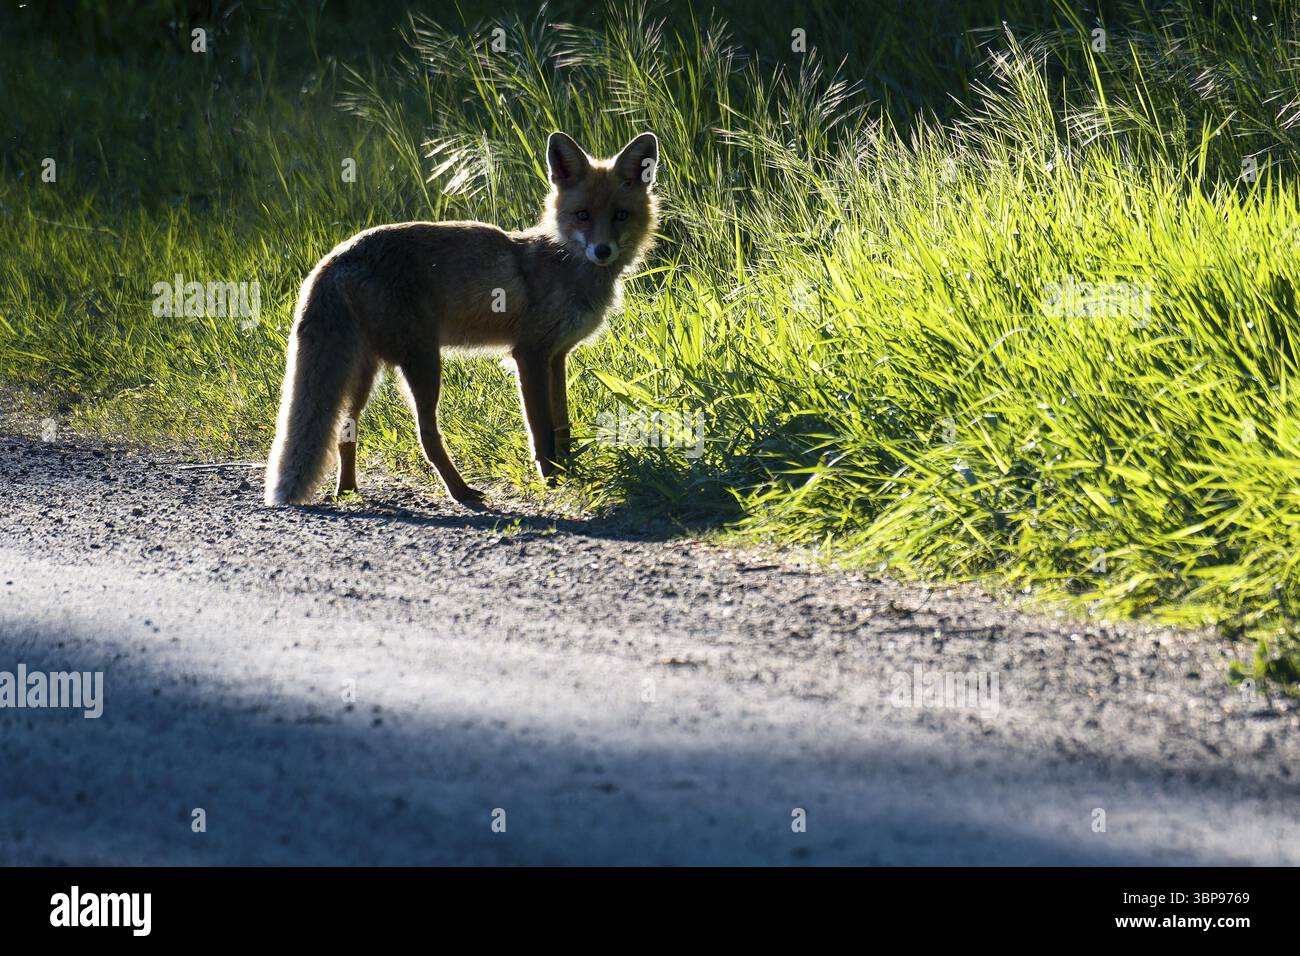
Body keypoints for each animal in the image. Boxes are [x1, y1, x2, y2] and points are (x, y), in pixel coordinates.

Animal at [263, 130, 660, 507]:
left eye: (621, 215)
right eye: (583, 215)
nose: (602, 251)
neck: (563, 261)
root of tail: (335, 257)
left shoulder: (557, 356)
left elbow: (562, 423)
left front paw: (572, 472)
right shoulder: (529, 355)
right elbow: (541, 428)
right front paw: (552, 479)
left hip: (364, 371)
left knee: (346, 429)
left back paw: (347, 491)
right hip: (423, 363)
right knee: (425, 435)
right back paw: (461, 491)